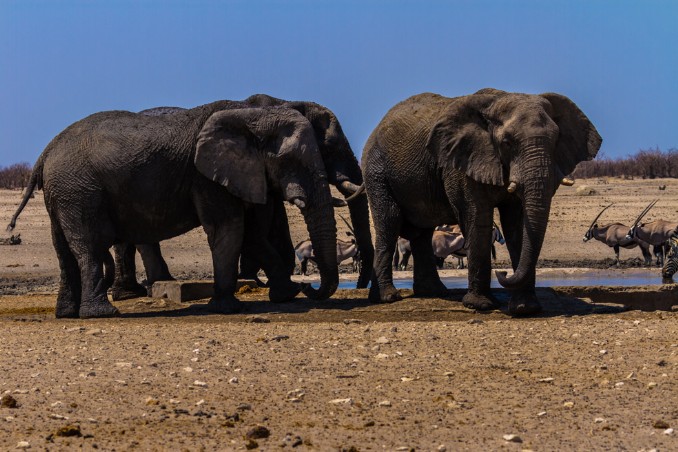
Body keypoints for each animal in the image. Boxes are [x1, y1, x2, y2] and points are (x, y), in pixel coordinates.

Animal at [9, 102, 338, 318]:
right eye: (290, 161)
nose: (311, 288)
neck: (250, 116)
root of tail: (46, 152)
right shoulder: (205, 177)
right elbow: (228, 228)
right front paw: (227, 308)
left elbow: (248, 236)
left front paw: (286, 296)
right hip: (79, 191)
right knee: (89, 248)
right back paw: (102, 314)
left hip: (63, 194)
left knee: (64, 251)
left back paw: (65, 314)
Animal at [113, 95, 378, 298]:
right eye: (330, 147)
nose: (359, 286)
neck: (283, 102)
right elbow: (256, 226)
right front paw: (259, 281)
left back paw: (134, 291)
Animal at [364, 88, 604, 314]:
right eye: (507, 142)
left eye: (556, 141)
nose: (503, 271)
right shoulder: (462, 165)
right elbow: (478, 220)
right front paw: (481, 305)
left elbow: (517, 226)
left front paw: (525, 309)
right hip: (377, 174)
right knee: (389, 224)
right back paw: (387, 297)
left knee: (422, 234)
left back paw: (433, 292)